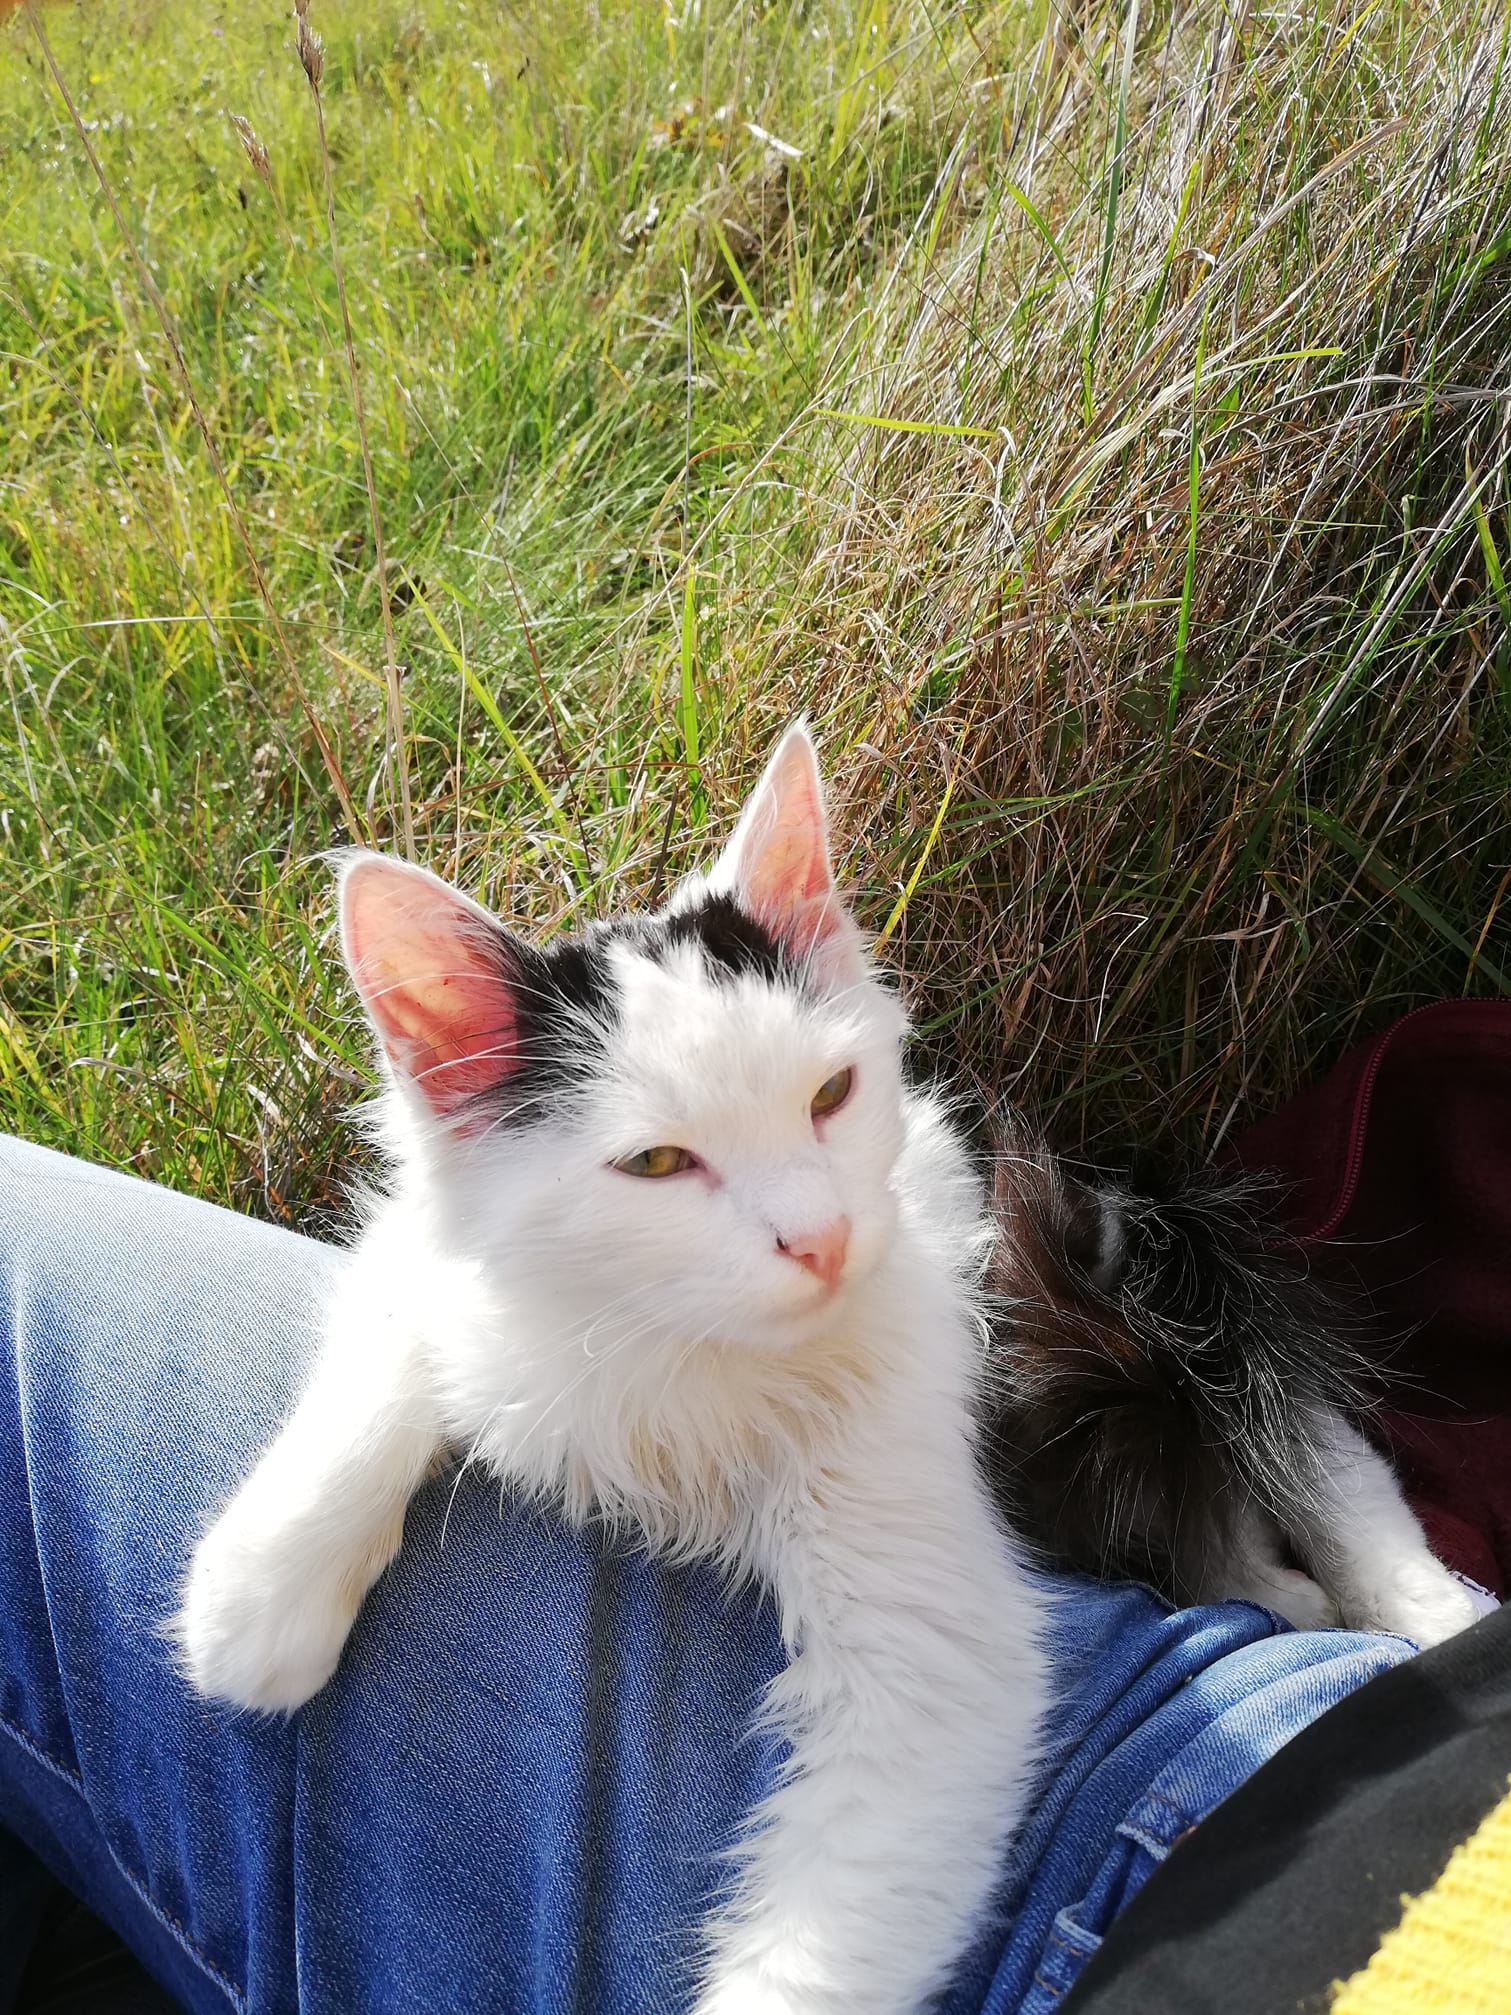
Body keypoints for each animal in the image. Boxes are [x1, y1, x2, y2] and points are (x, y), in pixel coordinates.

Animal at [178, 722, 1051, 2015]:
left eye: (831, 1095)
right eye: (655, 1163)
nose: (823, 1239)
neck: (668, 1341)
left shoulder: (932, 1655)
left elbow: (828, 1935)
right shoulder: (443, 1242)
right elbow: (403, 1327)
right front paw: (259, 1590)